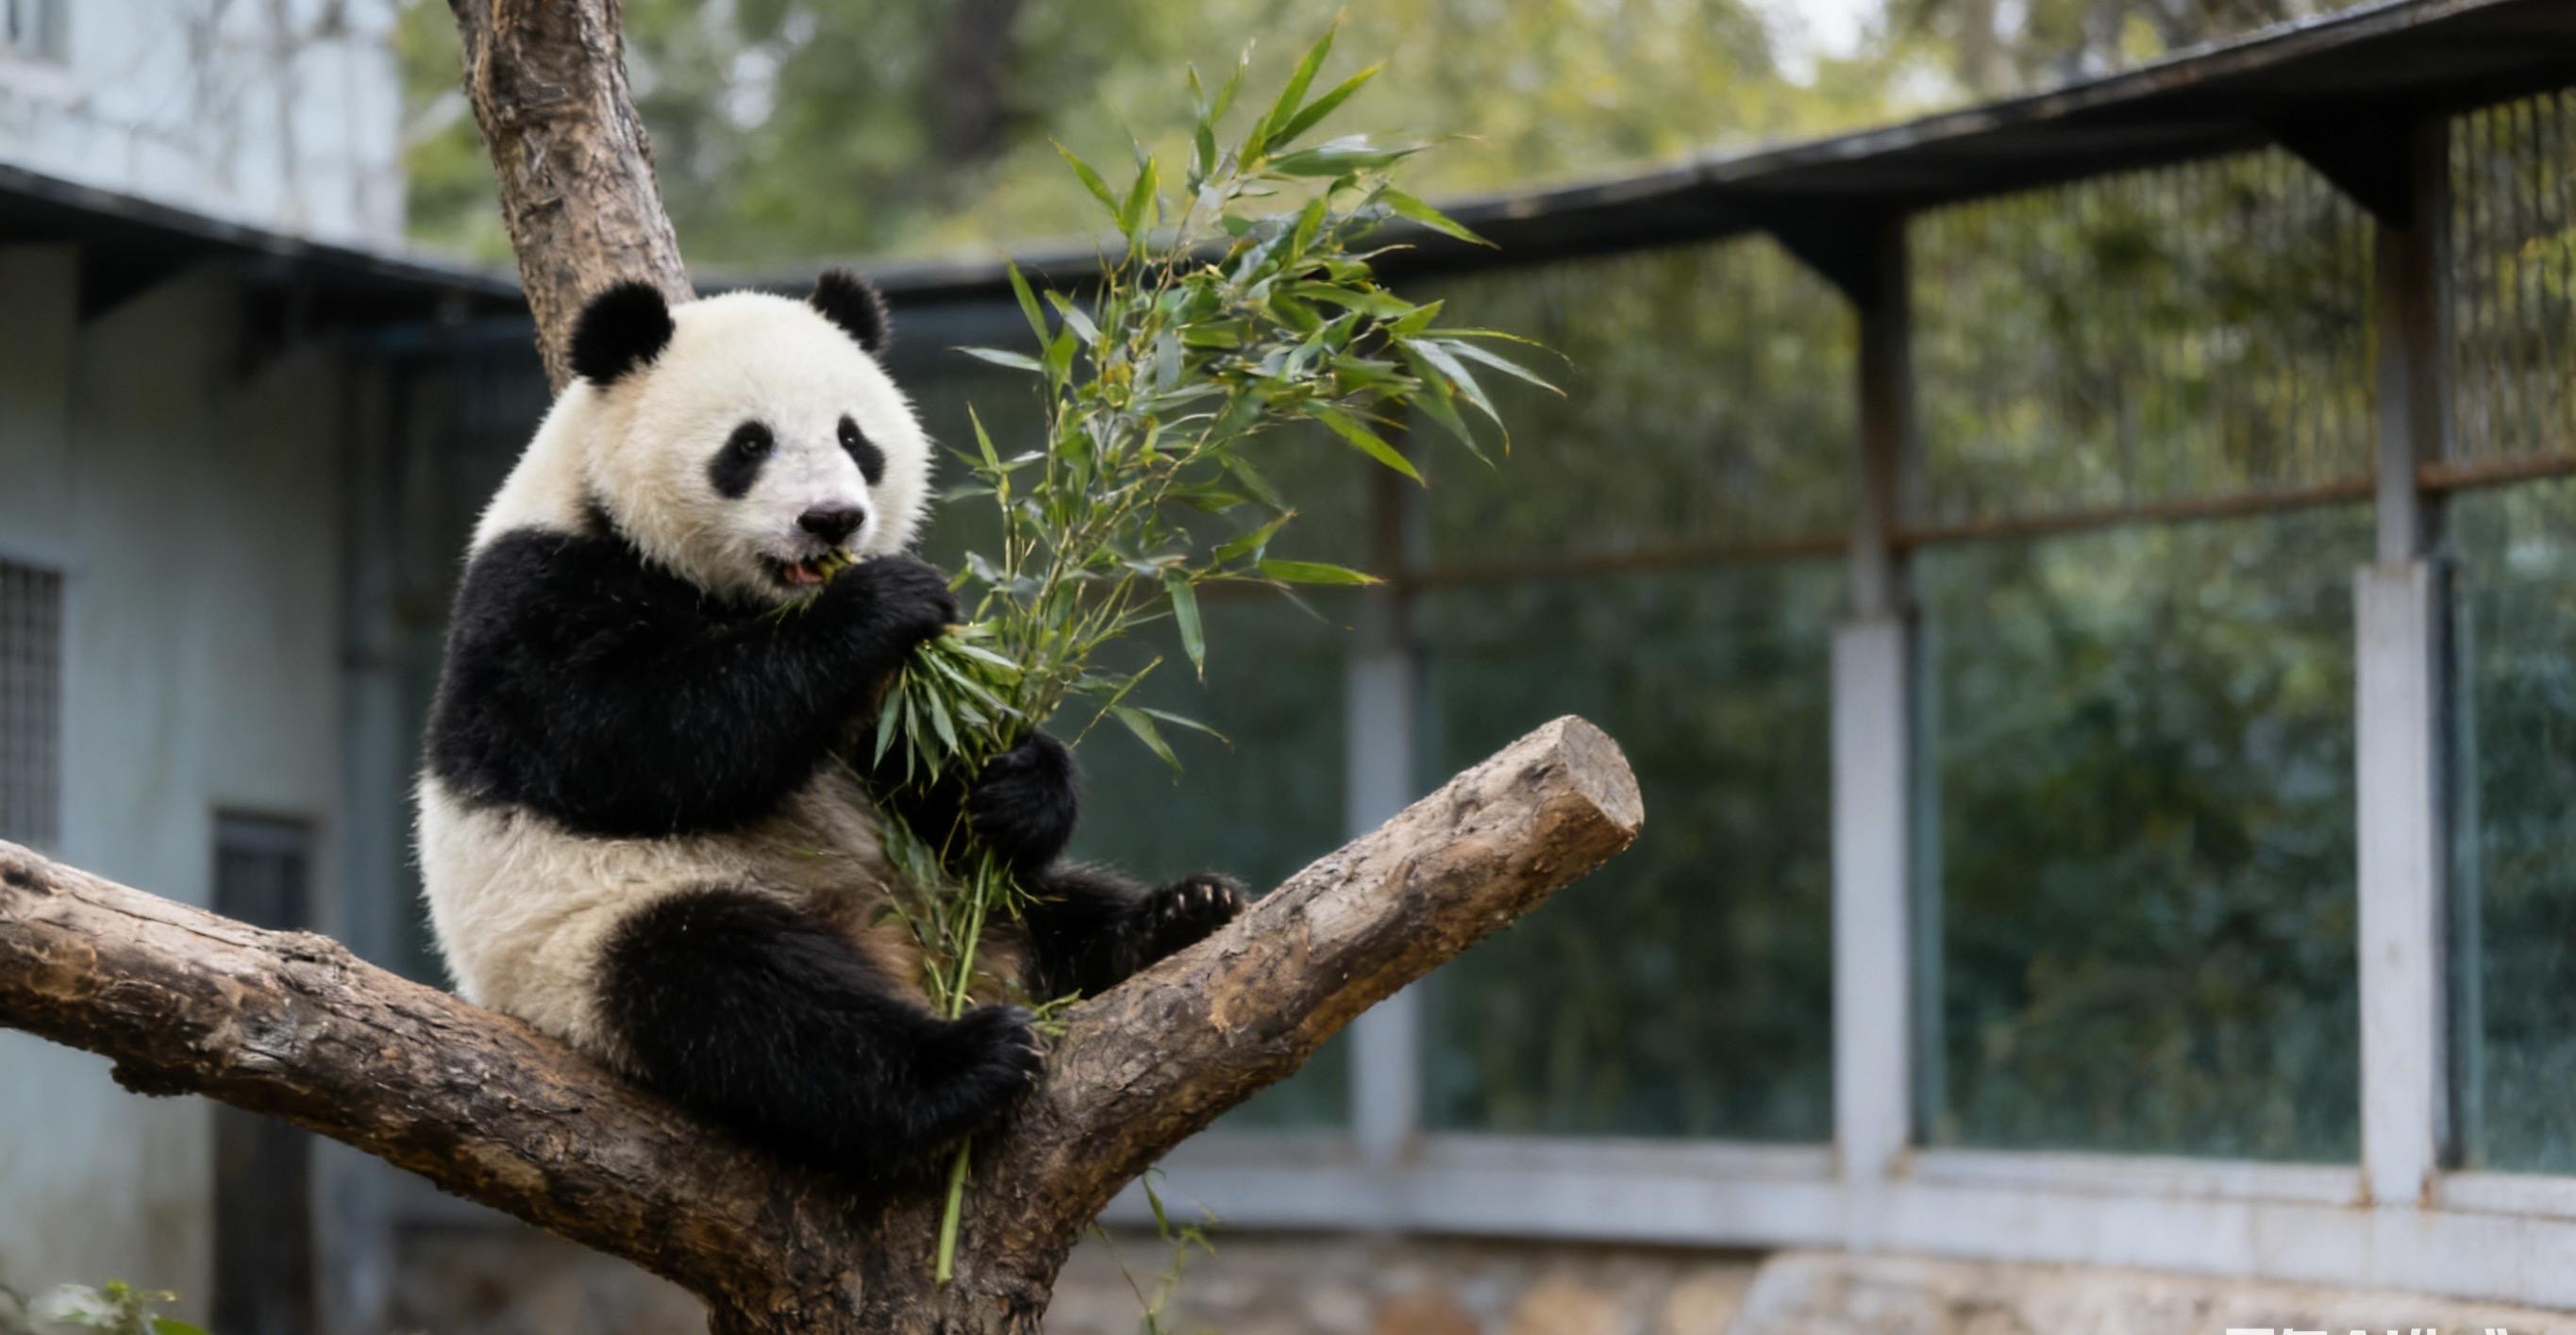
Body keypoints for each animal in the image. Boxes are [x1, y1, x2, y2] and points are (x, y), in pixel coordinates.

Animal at [416, 272, 1245, 1177]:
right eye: (748, 445)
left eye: (855, 437)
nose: (832, 520)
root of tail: (919, 963)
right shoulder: (538, 594)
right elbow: (624, 740)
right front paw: (875, 603)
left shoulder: (891, 700)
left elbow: (927, 758)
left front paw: (1018, 786)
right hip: (584, 943)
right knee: (740, 990)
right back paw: (960, 1064)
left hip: (955, 894)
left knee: (1055, 902)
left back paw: (1174, 918)